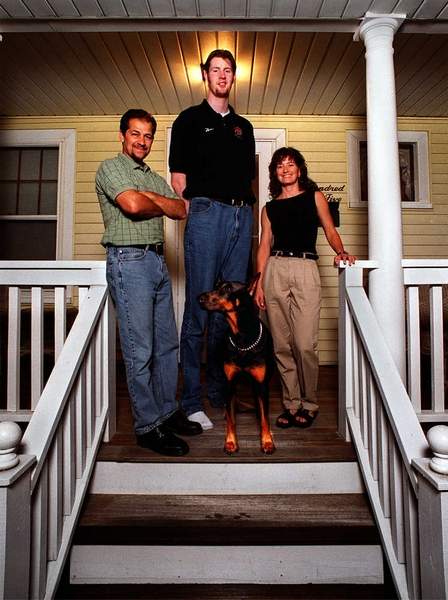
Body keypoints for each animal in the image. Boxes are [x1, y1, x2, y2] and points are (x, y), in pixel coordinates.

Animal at [199, 276, 274, 454]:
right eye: (216, 286)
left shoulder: (262, 384)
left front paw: (267, 441)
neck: (242, 339)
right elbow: (231, 419)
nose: (200, 298)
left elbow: (265, 417)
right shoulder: (230, 383)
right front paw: (231, 441)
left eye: (227, 289)